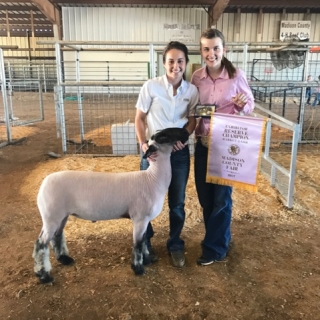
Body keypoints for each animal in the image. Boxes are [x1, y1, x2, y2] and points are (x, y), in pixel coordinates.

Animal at [32, 126, 190, 284]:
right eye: (163, 136)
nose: (185, 132)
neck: (152, 179)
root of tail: (44, 183)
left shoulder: (144, 220)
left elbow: (144, 240)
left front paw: (147, 260)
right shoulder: (140, 218)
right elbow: (138, 244)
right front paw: (138, 268)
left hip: (61, 216)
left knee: (57, 236)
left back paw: (65, 259)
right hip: (51, 216)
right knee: (41, 244)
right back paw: (44, 276)